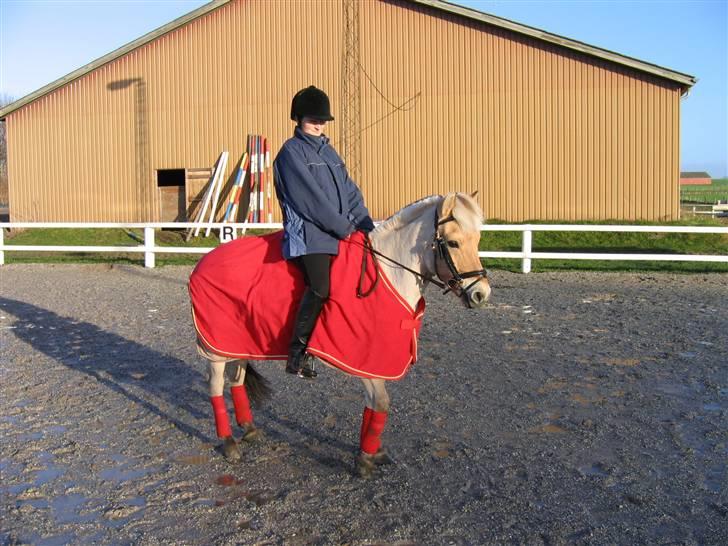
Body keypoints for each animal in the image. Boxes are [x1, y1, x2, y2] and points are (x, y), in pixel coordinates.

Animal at [189, 192, 491, 477]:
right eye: (452, 243)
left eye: (477, 239)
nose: (481, 294)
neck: (387, 273)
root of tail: (203, 263)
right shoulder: (364, 361)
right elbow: (381, 403)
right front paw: (365, 459)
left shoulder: (374, 360)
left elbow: (373, 407)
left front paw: (372, 452)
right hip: (215, 350)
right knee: (216, 386)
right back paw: (228, 442)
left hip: (235, 342)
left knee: (236, 380)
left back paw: (249, 428)